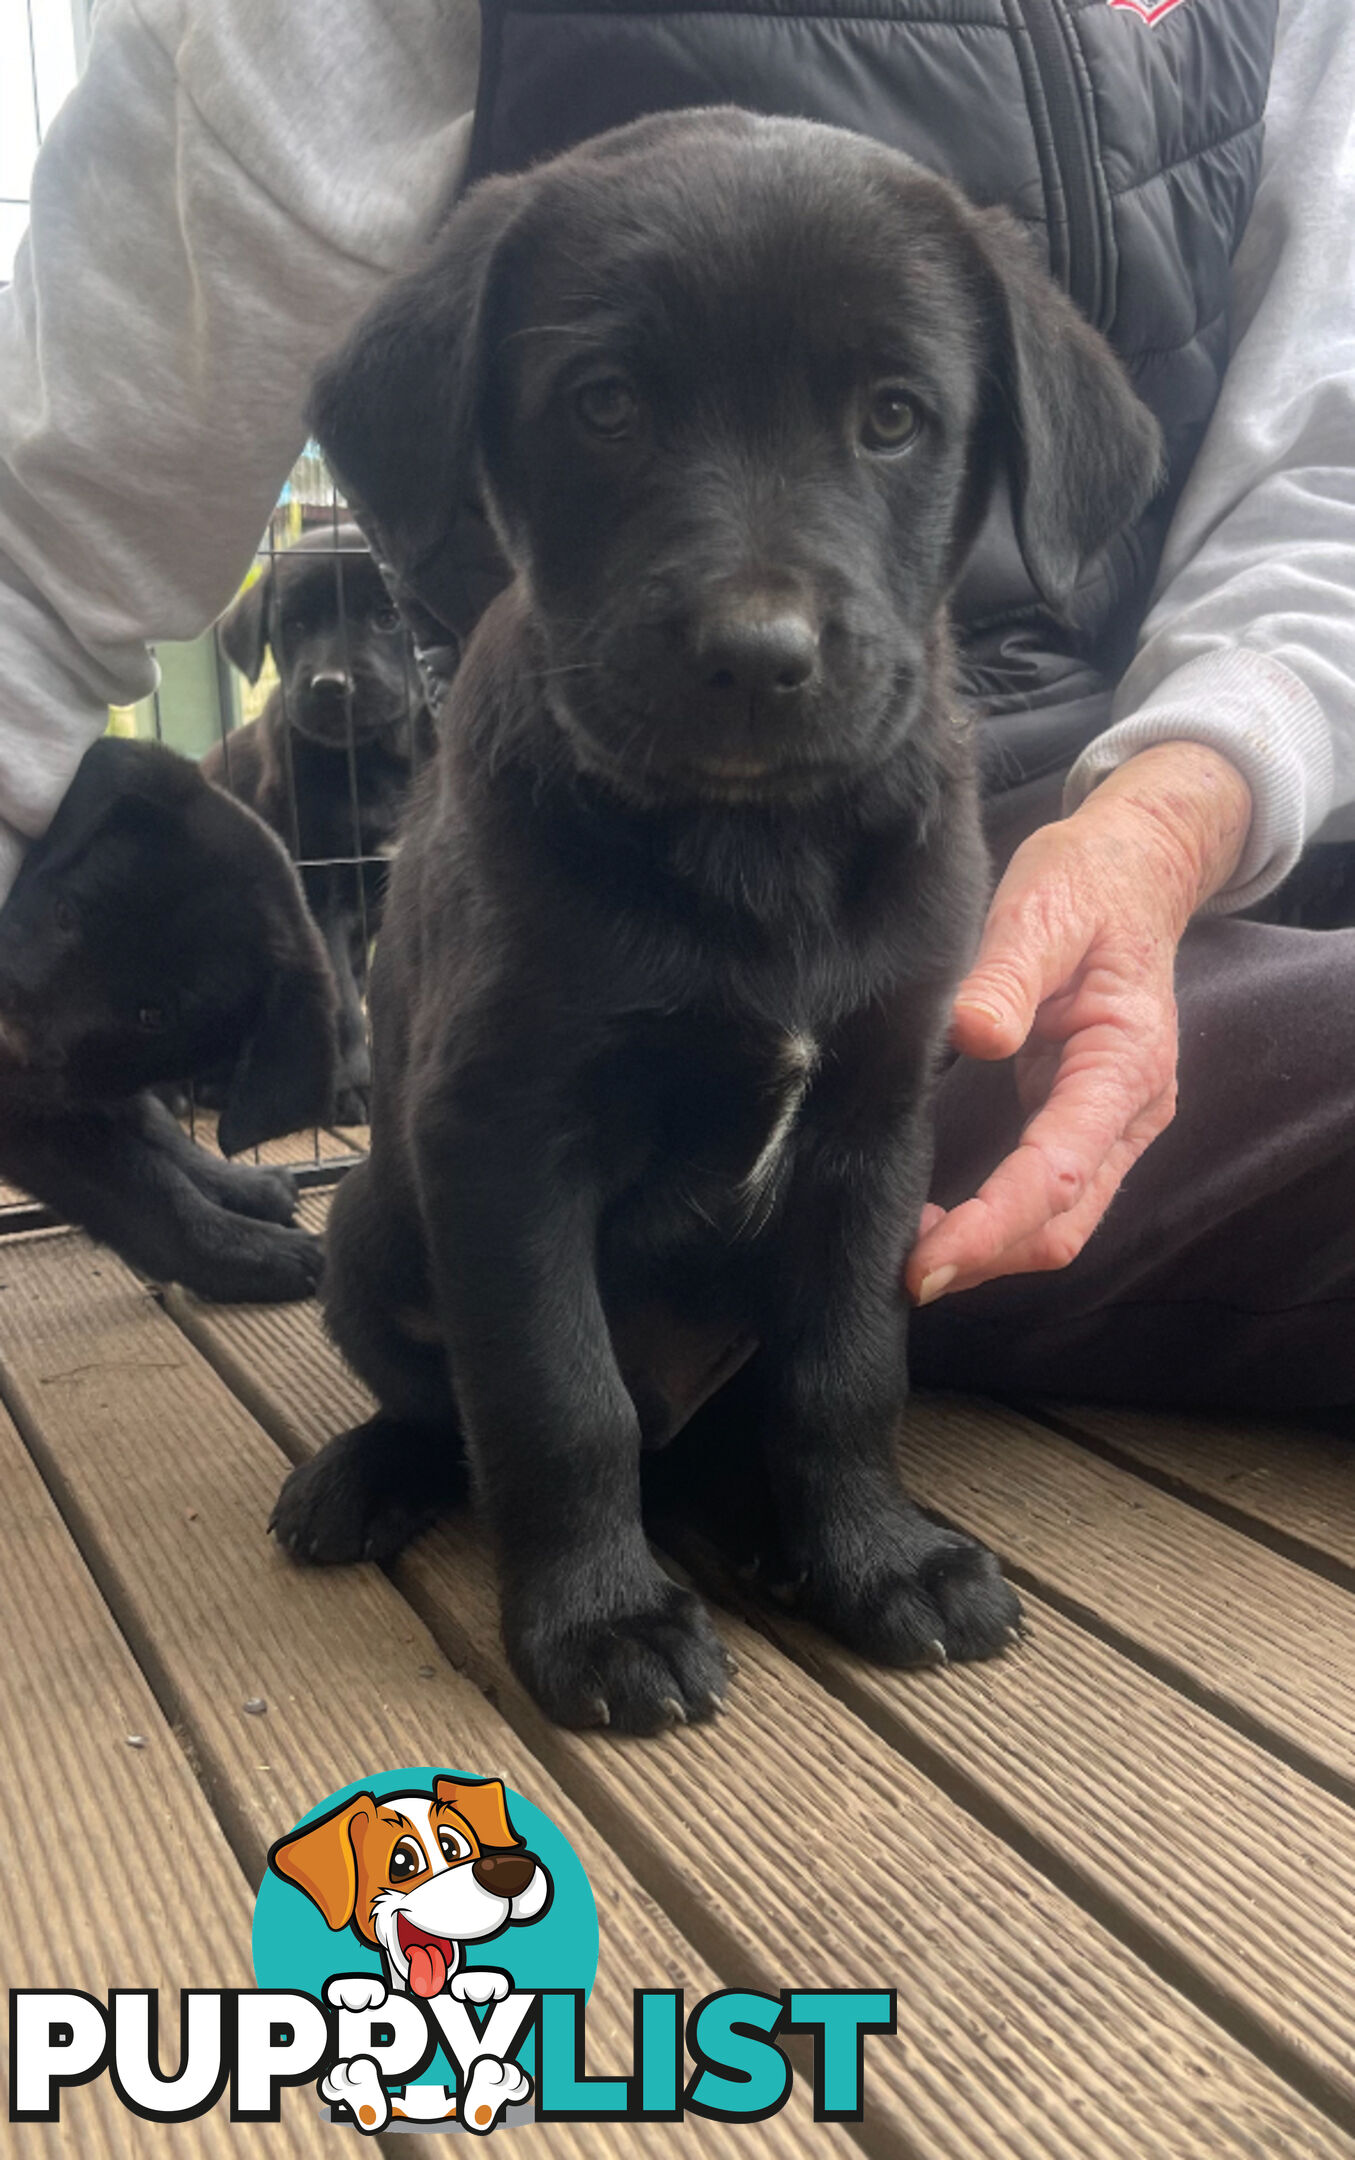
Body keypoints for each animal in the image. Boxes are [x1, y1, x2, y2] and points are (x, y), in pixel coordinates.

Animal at [0, 734, 337, 1304]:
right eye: (65, 914)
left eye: (152, 1016)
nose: (8, 1045)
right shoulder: (42, 1116)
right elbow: (150, 1189)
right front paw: (254, 1250)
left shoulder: (84, 1080)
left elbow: (157, 1132)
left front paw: (237, 1186)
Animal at [275, 109, 1166, 1736]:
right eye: (605, 405)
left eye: (892, 418)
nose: (758, 658)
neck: (758, 854)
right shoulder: (503, 1138)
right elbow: (556, 1401)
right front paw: (601, 1621)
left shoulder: (875, 1130)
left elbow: (843, 1374)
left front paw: (872, 1556)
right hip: (371, 1220)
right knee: (465, 1409)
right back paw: (368, 1477)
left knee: (717, 1431)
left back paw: (764, 1521)